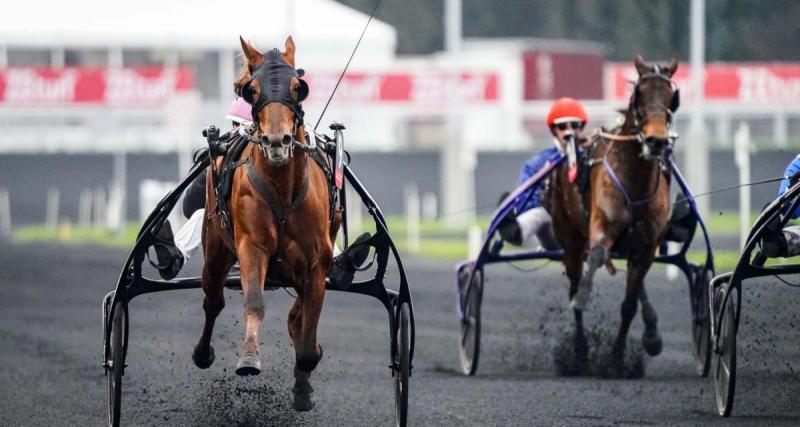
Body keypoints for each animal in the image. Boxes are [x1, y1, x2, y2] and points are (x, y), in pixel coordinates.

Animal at [192, 36, 340, 412]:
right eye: (252, 90)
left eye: (298, 87)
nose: (277, 141)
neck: (283, 189)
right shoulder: (253, 247)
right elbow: (254, 303)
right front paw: (248, 357)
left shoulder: (316, 265)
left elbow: (308, 331)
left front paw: (305, 377)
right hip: (215, 250)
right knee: (212, 300)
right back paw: (203, 352)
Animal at [552, 56, 680, 374]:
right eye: (639, 95)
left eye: (672, 97)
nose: (656, 141)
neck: (635, 180)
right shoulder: (601, 228)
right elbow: (596, 257)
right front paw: (584, 300)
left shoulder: (646, 246)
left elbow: (630, 304)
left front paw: (618, 357)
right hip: (571, 241)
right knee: (575, 280)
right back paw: (580, 351)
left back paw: (651, 333)